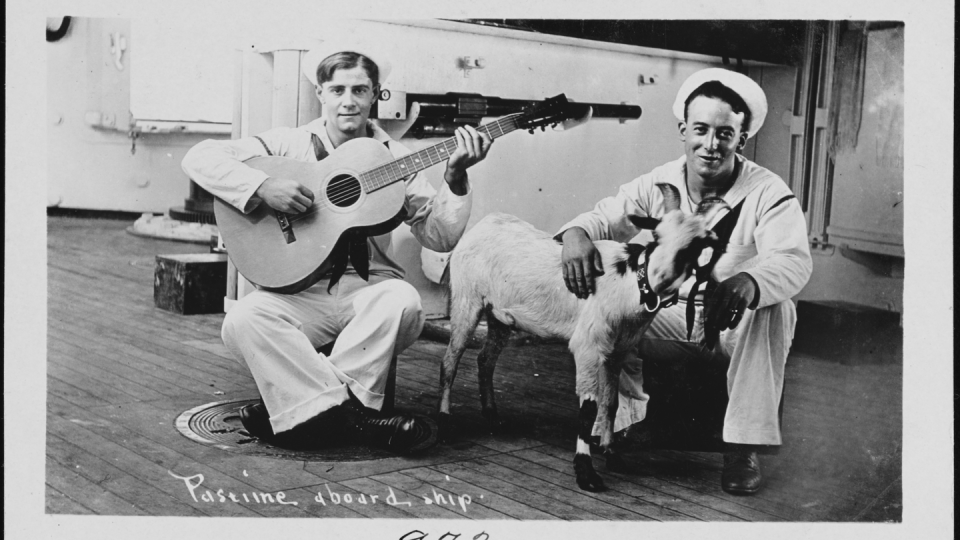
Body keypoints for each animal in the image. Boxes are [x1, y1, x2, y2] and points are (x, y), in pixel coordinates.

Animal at [436, 182, 728, 494]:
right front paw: (586, 471)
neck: (627, 283)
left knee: (485, 360)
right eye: (657, 235)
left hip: (499, 316)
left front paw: (613, 455)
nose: (661, 276)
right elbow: (589, 408)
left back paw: (493, 418)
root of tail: (484, 223)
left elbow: (610, 404)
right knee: (450, 362)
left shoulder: (616, 352)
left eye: (696, 245)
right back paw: (444, 423)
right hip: (466, 300)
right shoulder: (588, 346)